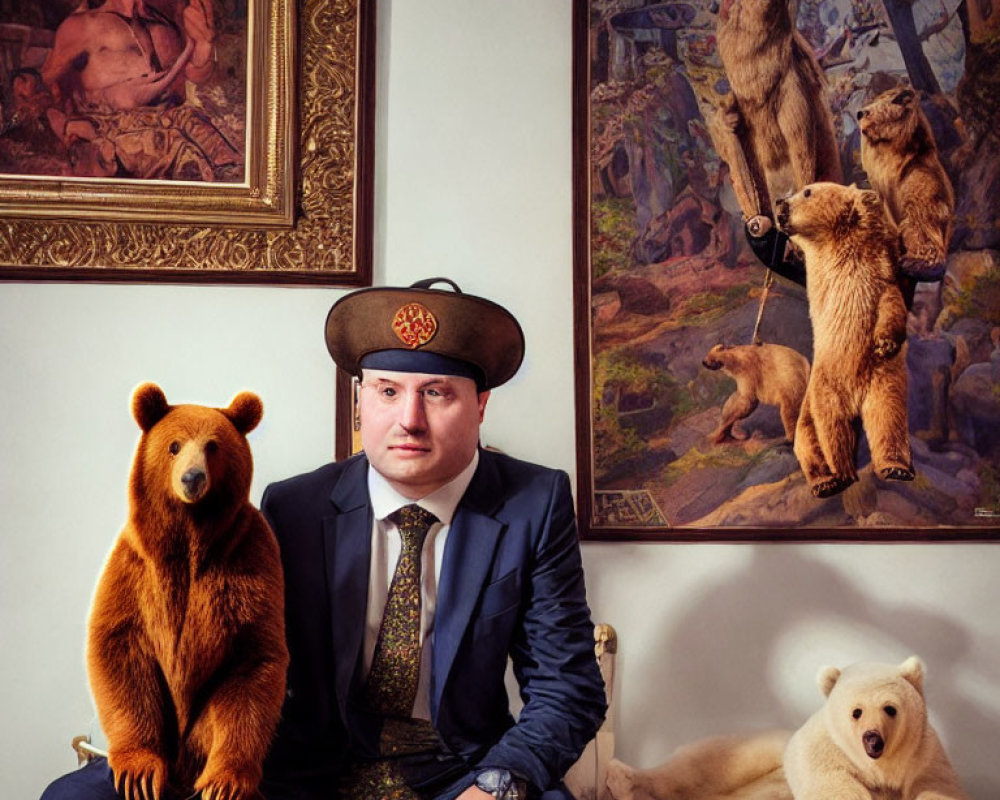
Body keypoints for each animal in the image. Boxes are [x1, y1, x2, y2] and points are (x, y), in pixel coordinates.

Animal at [87, 382, 288, 800]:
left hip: (197, 732)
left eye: (213, 446)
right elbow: (119, 647)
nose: (192, 478)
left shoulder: (249, 561)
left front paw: (225, 782)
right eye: (174, 445)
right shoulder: (135, 567)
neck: (190, 538)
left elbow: (252, 663)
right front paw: (139, 774)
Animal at [772, 182, 916, 496]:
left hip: (881, 381)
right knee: (818, 434)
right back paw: (831, 479)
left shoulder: (879, 281)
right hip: (822, 390)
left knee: (887, 418)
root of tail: (855, 398)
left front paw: (885, 343)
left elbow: (891, 306)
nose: (778, 203)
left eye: (807, 191)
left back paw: (896, 468)